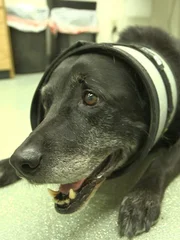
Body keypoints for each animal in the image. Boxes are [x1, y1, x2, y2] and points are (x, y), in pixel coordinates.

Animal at [1, 26, 180, 238]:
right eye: (45, 102)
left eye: (90, 98)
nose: (20, 163)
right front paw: (5, 164)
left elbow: (161, 162)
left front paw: (140, 198)